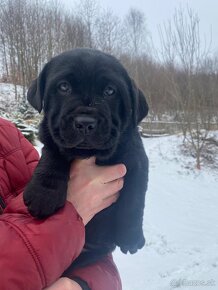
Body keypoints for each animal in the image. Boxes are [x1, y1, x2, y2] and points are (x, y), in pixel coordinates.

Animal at [24, 47, 150, 268]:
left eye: (110, 91)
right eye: (63, 87)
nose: (85, 122)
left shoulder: (137, 162)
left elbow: (134, 200)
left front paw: (131, 237)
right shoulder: (52, 135)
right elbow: (52, 156)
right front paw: (43, 195)